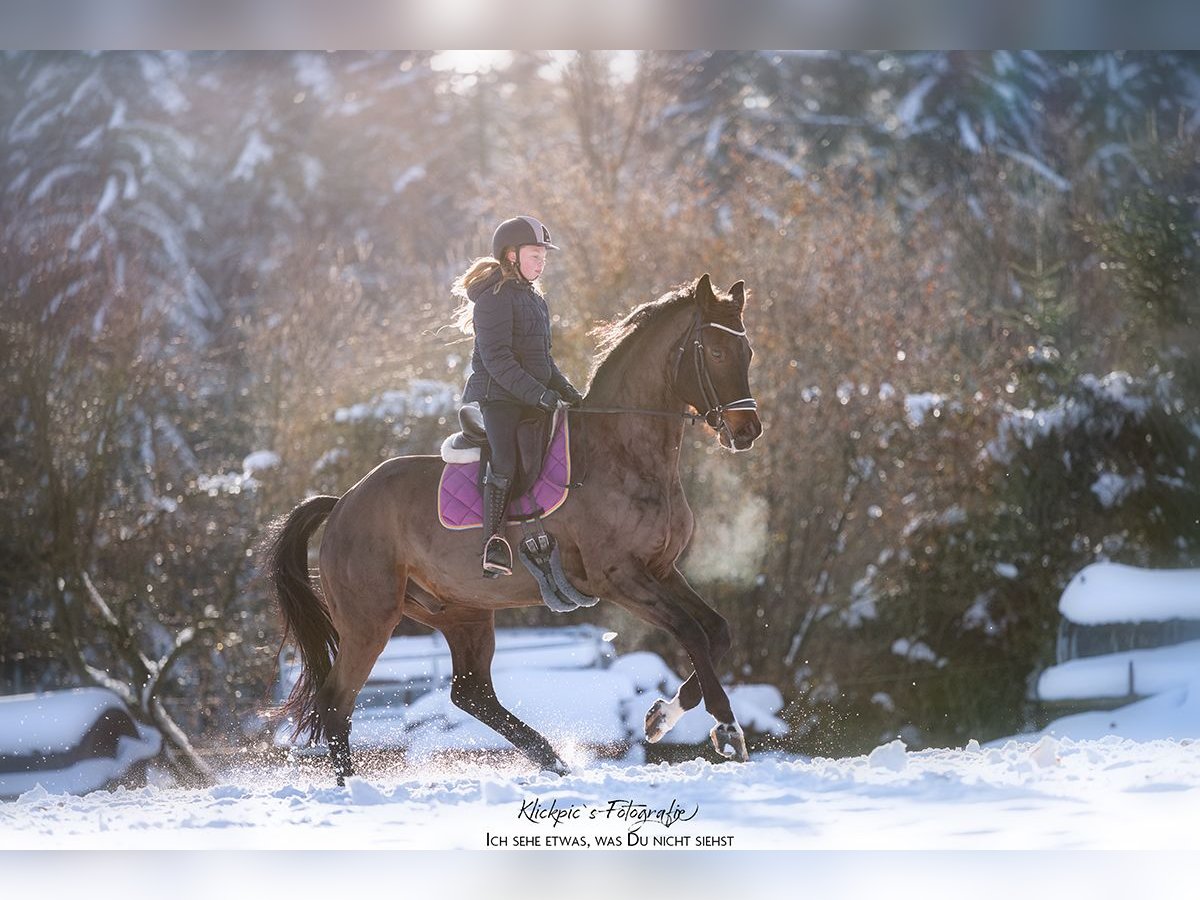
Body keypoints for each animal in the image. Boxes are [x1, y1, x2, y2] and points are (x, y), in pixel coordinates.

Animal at [267, 273, 763, 782]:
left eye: (746, 353)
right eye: (716, 353)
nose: (748, 431)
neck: (622, 452)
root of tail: (343, 503)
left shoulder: (661, 571)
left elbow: (717, 631)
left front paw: (662, 715)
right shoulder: (620, 578)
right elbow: (692, 632)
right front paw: (727, 729)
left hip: (461, 612)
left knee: (471, 693)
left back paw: (552, 758)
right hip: (370, 621)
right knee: (337, 703)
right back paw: (353, 789)